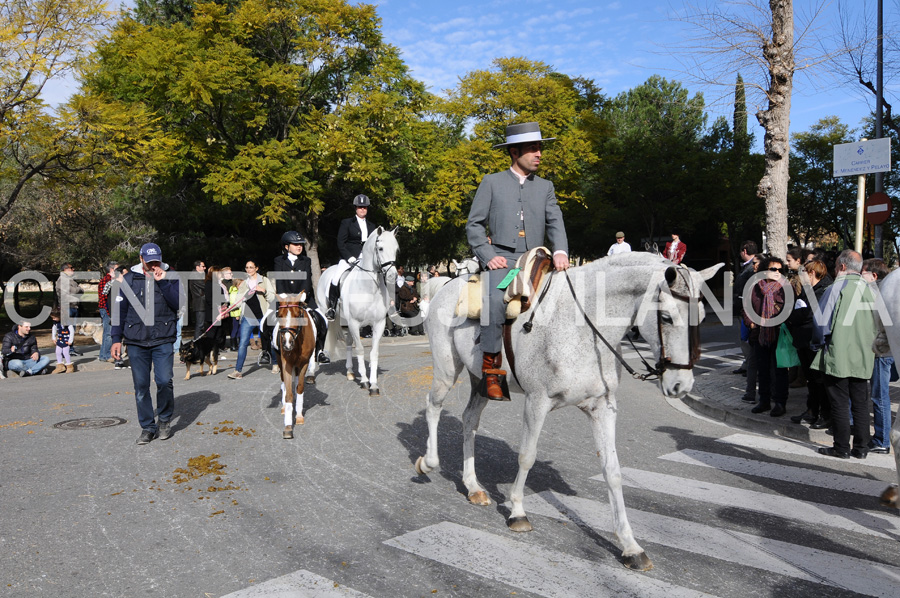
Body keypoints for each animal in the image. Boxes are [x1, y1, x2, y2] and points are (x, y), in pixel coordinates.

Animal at [276, 296, 318, 440]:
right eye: (279, 315)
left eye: (297, 316)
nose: (287, 343)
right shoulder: (287, 364)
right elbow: (289, 393)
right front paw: (288, 427)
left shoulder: (303, 363)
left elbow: (299, 388)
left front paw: (299, 416)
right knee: (284, 383)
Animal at [318, 227, 400, 396]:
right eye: (380, 248)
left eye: (396, 249)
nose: (392, 276)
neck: (369, 288)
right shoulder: (355, 323)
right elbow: (361, 350)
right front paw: (364, 381)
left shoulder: (378, 324)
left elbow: (374, 352)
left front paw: (373, 385)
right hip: (328, 315)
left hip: (347, 323)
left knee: (349, 342)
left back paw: (350, 372)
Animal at [414, 252, 724, 572]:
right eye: (666, 318)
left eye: (701, 317)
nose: (681, 385)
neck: (584, 329)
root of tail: (446, 285)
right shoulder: (537, 402)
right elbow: (527, 457)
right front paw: (518, 512)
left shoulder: (603, 408)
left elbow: (612, 471)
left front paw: (630, 545)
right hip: (446, 370)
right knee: (433, 406)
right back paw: (429, 463)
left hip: (481, 382)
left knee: (469, 420)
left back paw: (473, 486)